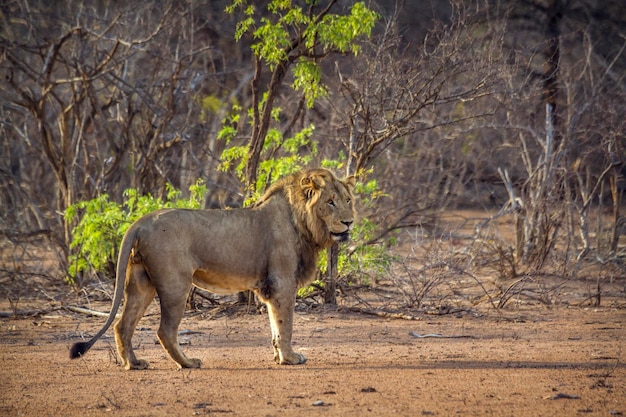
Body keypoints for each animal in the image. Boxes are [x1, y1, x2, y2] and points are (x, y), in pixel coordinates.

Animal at [70, 167, 354, 368]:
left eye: (348, 200)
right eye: (330, 202)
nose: (349, 222)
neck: (303, 223)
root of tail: (142, 220)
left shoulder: (271, 288)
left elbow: (275, 325)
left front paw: (279, 357)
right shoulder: (282, 283)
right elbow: (285, 324)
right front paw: (290, 358)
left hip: (141, 283)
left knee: (123, 325)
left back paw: (134, 364)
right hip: (175, 285)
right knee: (165, 330)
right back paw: (188, 363)